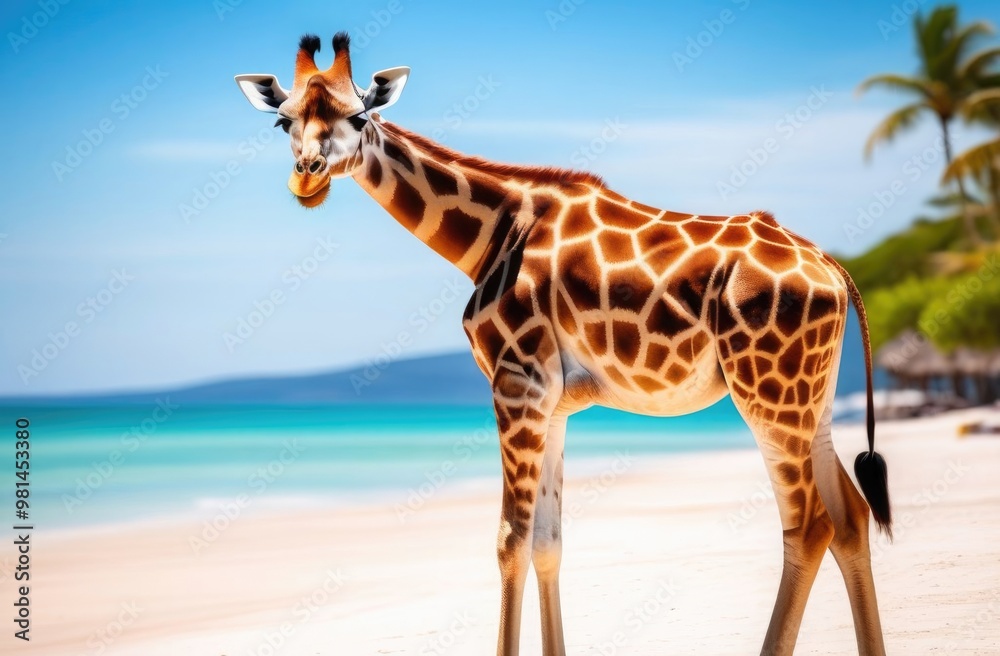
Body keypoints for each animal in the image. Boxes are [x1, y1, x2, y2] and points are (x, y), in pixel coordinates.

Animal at [236, 33, 892, 656]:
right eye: (283, 121)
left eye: (359, 115)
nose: (307, 176)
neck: (492, 234)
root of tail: (835, 270)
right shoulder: (551, 402)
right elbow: (548, 542)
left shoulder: (516, 382)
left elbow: (509, 541)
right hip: (812, 399)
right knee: (851, 516)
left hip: (768, 391)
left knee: (807, 526)